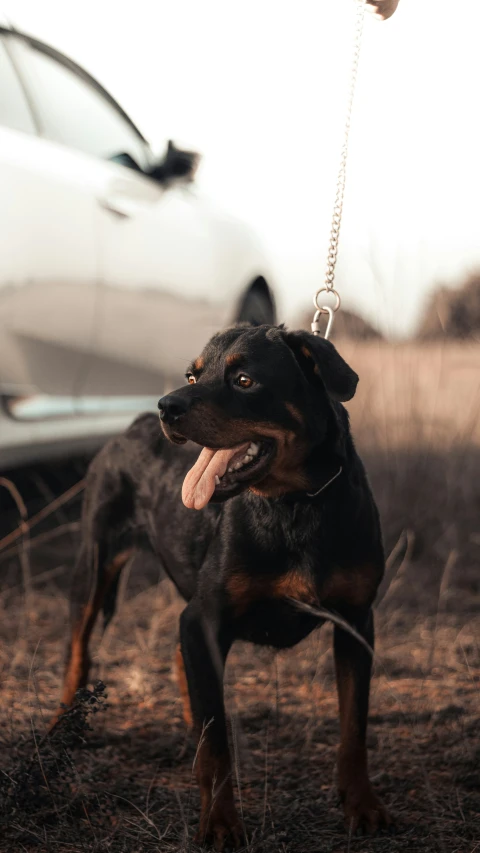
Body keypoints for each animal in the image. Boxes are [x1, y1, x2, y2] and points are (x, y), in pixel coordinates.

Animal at [58, 324, 392, 844]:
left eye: (244, 380)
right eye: (193, 375)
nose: (167, 406)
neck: (295, 505)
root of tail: (130, 426)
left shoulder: (356, 622)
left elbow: (354, 727)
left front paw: (362, 804)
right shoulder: (206, 620)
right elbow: (217, 742)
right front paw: (218, 821)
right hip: (94, 563)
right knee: (78, 652)